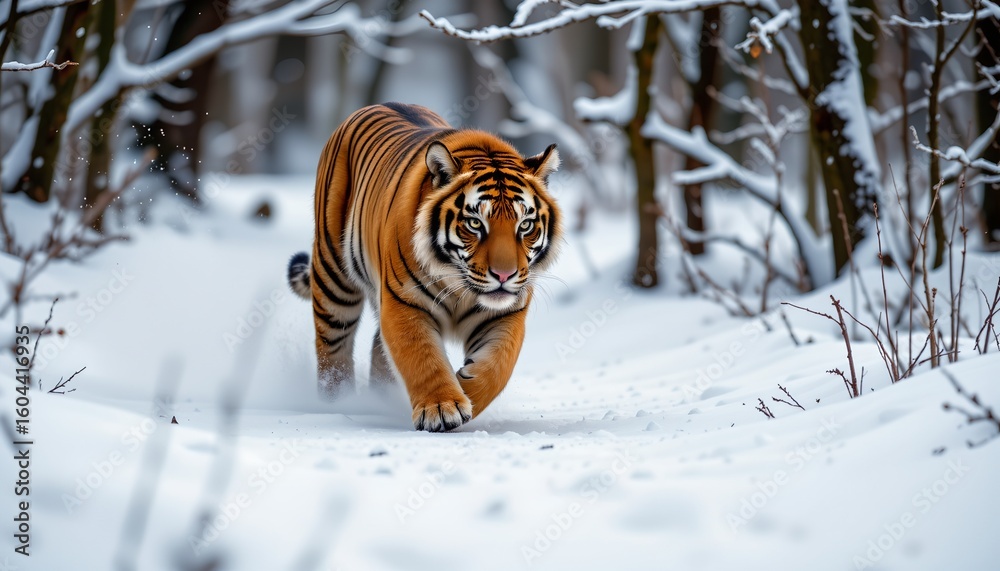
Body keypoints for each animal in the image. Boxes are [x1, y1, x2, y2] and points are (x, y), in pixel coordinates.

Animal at [287, 102, 562, 432]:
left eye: (525, 225)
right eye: (475, 223)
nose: (504, 275)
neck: (460, 288)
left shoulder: (506, 313)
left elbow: (498, 366)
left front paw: (466, 388)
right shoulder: (404, 303)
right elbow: (422, 358)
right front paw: (442, 408)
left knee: (379, 352)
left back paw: (381, 401)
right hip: (333, 280)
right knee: (333, 351)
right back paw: (338, 406)